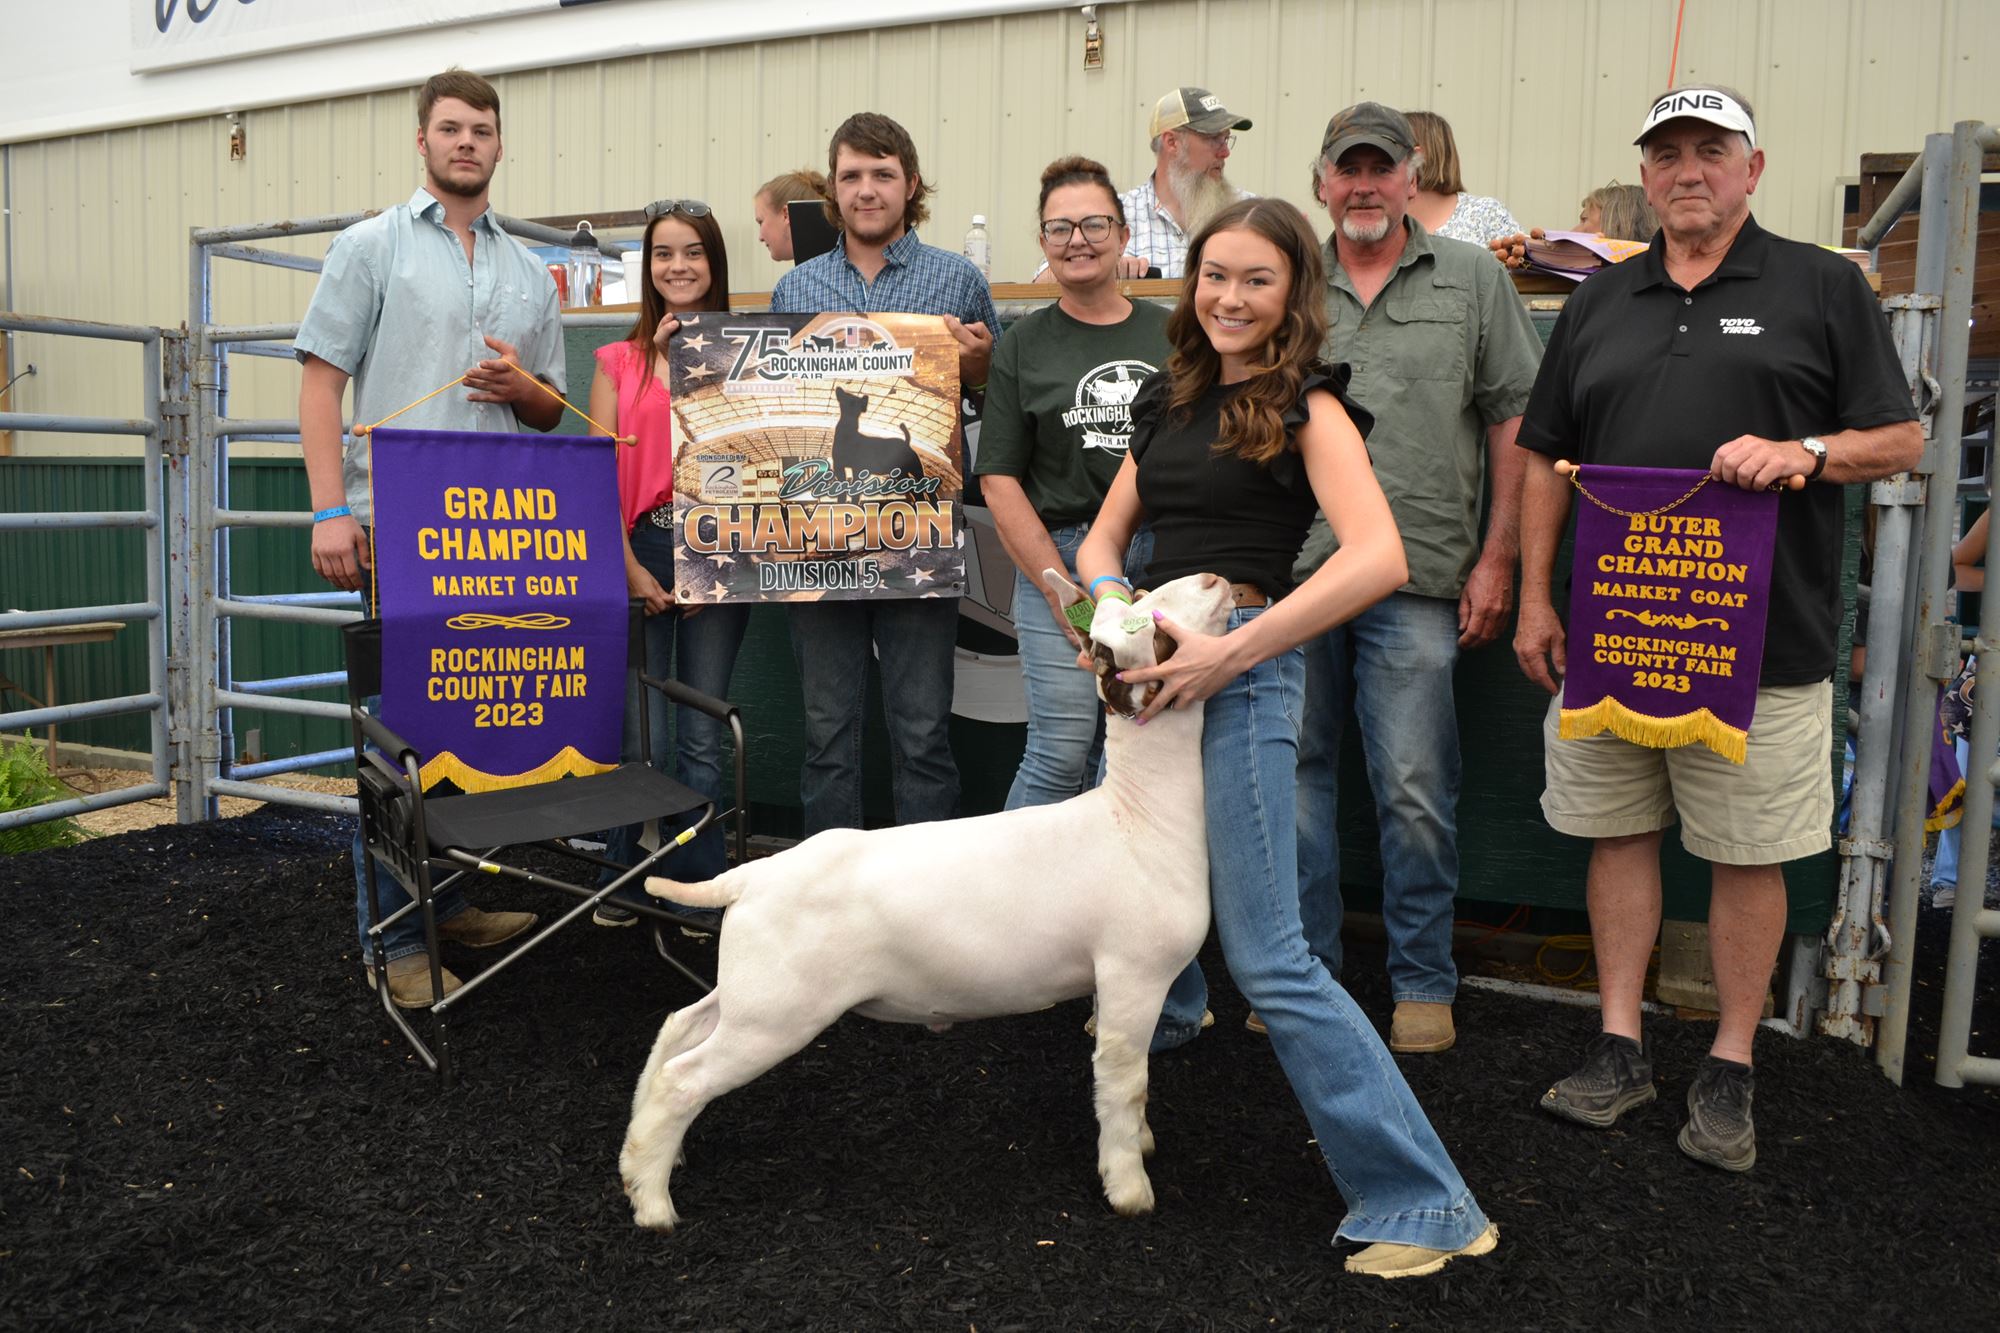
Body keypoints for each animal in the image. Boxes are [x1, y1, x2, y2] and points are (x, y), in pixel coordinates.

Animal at [616, 568, 1232, 1224]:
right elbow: (1126, 1082)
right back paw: (653, 1202)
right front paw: (1129, 1186)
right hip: (776, 1014)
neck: (1137, 816)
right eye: (1152, 623)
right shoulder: (1133, 976)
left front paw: (1141, 1143)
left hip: (752, 990)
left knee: (678, 1028)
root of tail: (751, 877)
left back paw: (641, 1157)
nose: (1214, 578)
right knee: (685, 1076)